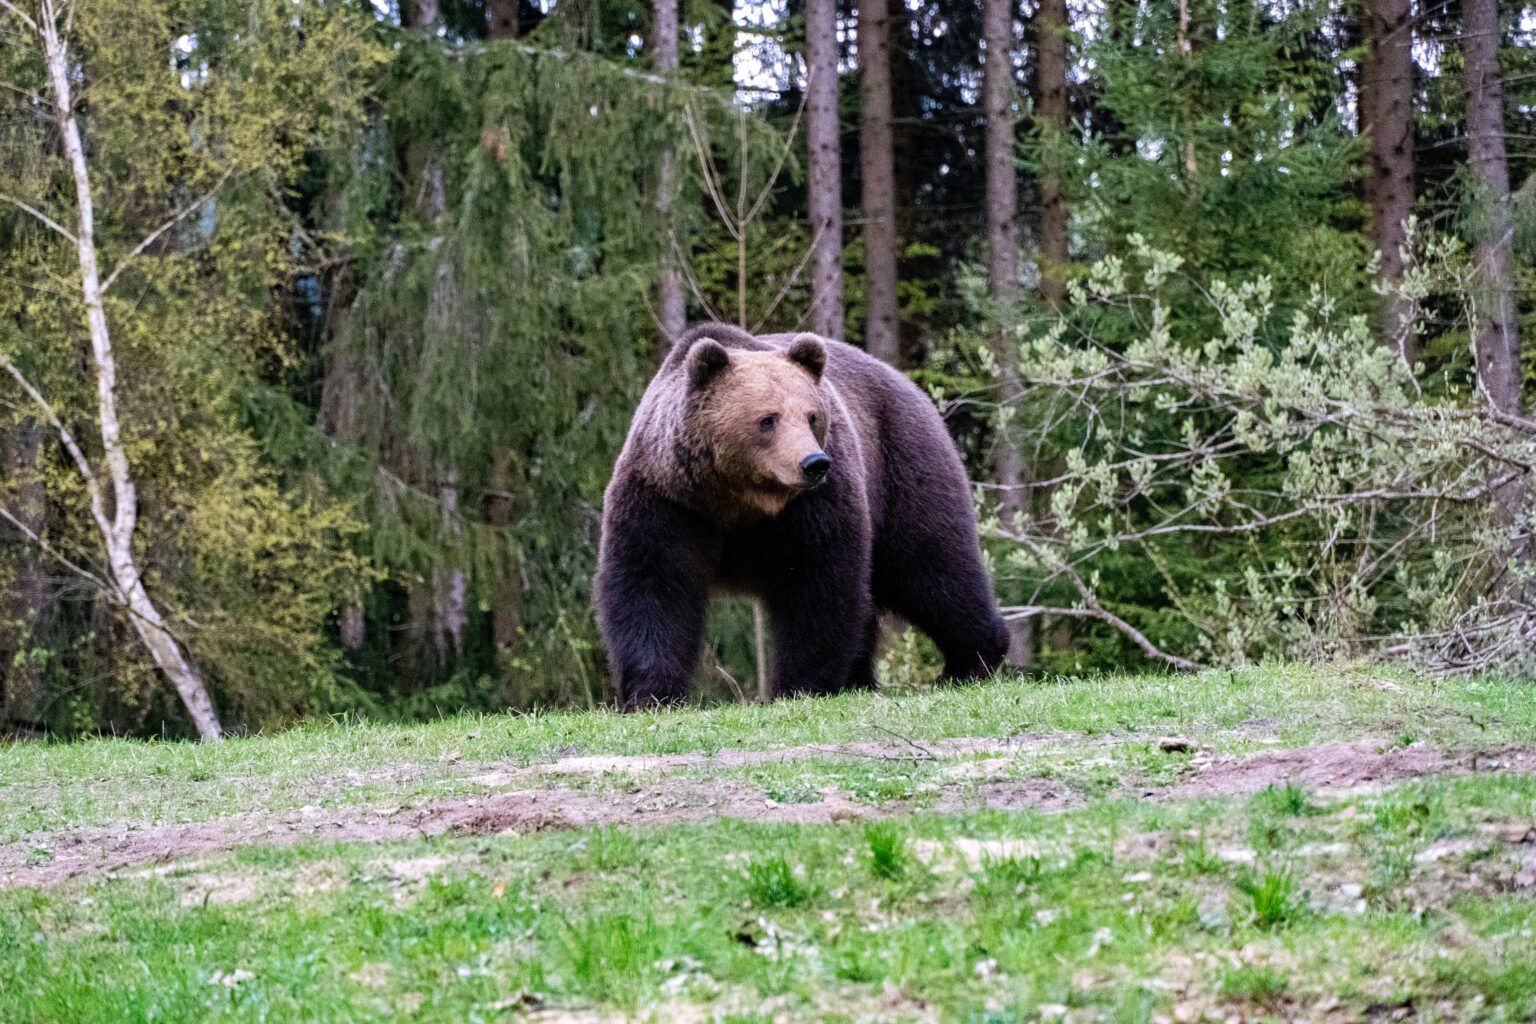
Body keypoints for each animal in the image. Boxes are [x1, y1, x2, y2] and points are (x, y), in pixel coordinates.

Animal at [595, 323, 1007, 709]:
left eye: (812, 416)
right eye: (768, 419)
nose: (813, 462)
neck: (738, 498)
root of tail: (908, 383)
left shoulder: (813, 506)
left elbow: (817, 584)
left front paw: (799, 685)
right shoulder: (669, 500)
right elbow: (653, 583)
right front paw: (651, 693)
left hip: (901, 469)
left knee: (931, 569)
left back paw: (971, 661)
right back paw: (862, 678)